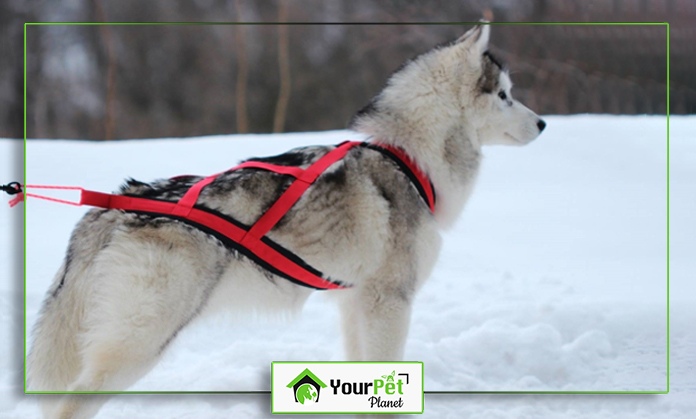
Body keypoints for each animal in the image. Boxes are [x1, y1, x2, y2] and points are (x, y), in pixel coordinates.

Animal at [29, 23, 548, 419]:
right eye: (505, 95)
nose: (544, 123)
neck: (408, 157)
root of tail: (116, 203)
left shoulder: (355, 305)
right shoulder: (389, 302)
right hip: (141, 340)